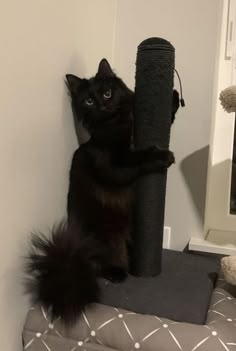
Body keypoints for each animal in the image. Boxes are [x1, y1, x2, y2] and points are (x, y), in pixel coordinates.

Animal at [25, 59, 177, 326]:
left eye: (107, 93)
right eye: (88, 100)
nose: (102, 104)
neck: (118, 124)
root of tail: (73, 258)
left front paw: (174, 97)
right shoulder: (113, 167)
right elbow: (141, 159)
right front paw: (162, 156)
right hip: (104, 237)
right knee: (100, 266)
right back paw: (118, 273)